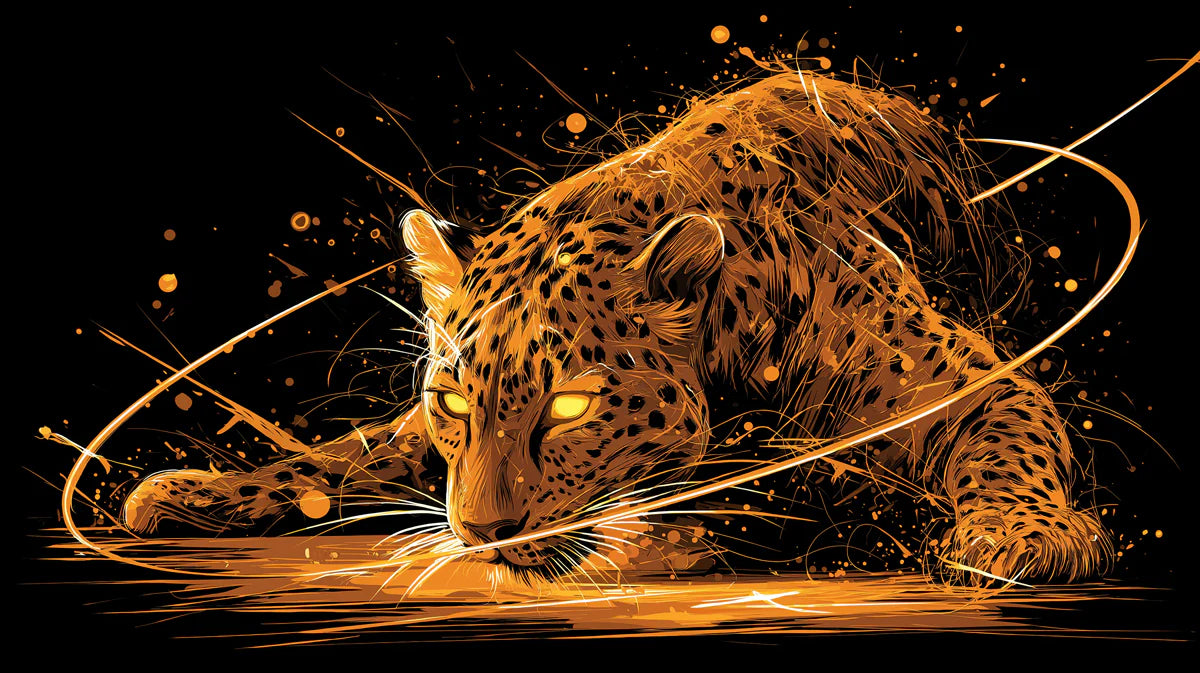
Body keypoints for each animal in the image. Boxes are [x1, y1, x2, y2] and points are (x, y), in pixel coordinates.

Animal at [124, 71, 1112, 585]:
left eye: (568, 407)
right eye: (454, 402)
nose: (483, 532)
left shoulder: (963, 384)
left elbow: (1009, 447)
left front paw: (1023, 536)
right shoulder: (415, 435)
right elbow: (340, 457)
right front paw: (193, 493)